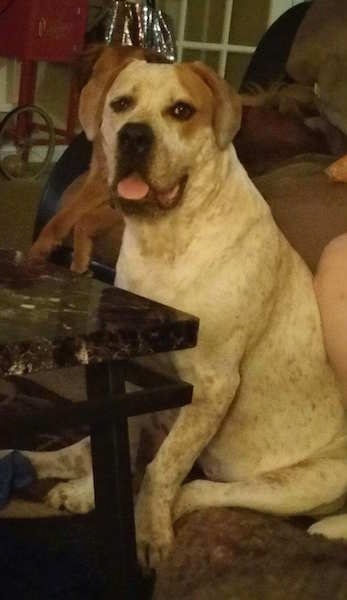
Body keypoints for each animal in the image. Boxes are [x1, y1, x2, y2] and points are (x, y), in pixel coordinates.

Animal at [23, 55, 347, 568]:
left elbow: (163, 468)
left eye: (181, 111)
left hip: (303, 482)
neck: (165, 238)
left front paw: (150, 534)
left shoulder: (212, 385)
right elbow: (122, 439)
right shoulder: (128, 362)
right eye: (121, 104)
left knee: (195, 489)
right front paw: (89, 491)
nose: (134, 136)